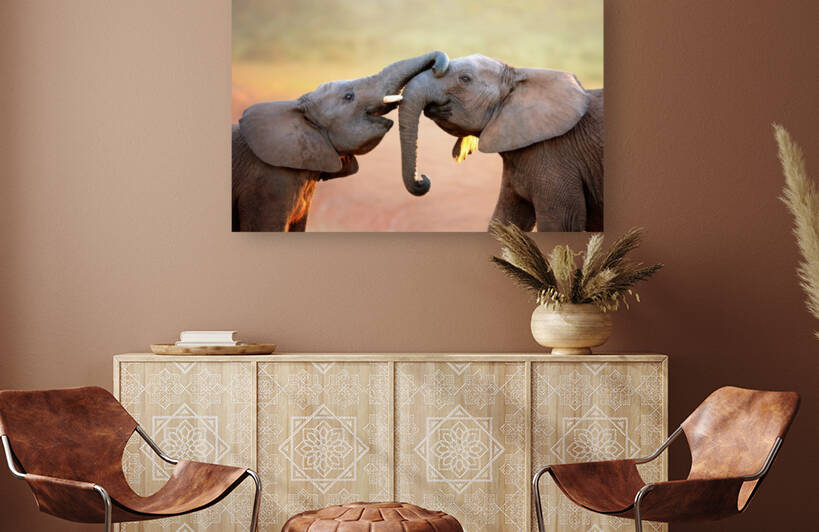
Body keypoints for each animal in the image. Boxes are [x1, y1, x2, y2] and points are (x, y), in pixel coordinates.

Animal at [397, 54, 603, 232]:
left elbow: (560, 224)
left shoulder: (555, 156)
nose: (422, 179)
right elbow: (504, 222)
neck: (518, 76)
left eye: (465, 79)